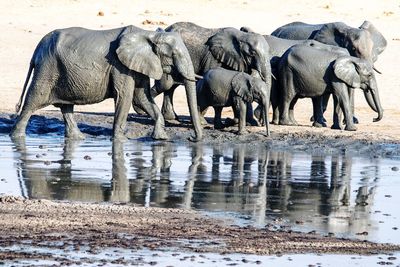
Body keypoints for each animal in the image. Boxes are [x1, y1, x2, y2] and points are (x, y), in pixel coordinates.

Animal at [10, 25, 203, 142]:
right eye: (174, 55)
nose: (191, 138)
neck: (148, 34)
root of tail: (36, 50)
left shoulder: (137, 64)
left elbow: (142, 98)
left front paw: (161, 139)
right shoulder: (120, 66)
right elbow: (125, 97)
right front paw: (121, 141)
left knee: (66, 107)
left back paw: (79, 138)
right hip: (47, 68)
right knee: (33, 101)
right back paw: (16, 137)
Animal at [133, 21, 274, 125]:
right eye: (252, 53)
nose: (261, 122)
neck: (241, 36)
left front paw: (250, 123)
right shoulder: (214, 58)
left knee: (171, 86)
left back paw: (170, 117)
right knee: (166, 84)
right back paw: (140, 110)